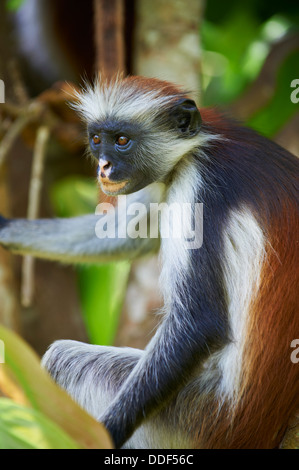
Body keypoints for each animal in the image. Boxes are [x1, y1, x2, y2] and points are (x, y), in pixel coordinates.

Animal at [0, 75, 299, 446]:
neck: (200, 142)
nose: (103, 167)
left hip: (200, 415)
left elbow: (198, 324)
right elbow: (127, 235)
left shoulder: (199, 183)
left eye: (122, 141)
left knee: (64, 358)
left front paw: (109, 433)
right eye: (97, 140)